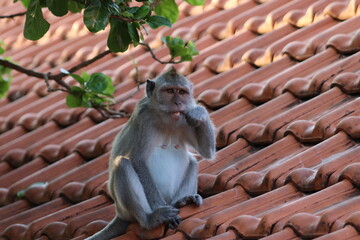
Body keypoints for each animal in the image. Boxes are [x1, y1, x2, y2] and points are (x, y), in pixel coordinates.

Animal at [86, 67, 215, 240]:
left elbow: (207, 151)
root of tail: (119, 214)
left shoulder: (184, 117)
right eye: (170, 91)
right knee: (123, 164)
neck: (165, 119)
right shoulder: (143, 118)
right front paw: (159, 211)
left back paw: (182, 201)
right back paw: (151, 218)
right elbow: (137, 160)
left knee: (192, 162)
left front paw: (199, 112)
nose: (178, 103)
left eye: (182, 92)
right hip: (125, 210)